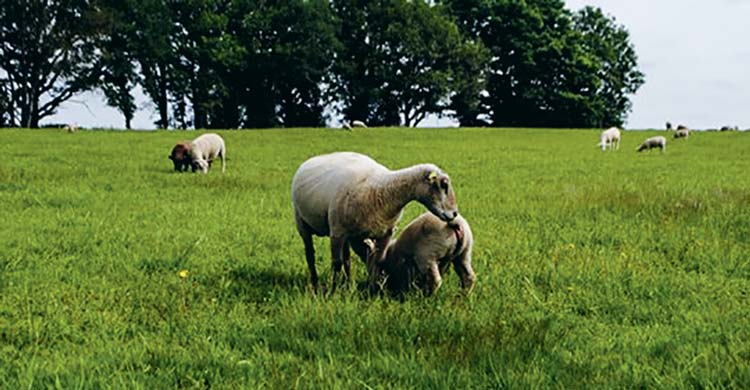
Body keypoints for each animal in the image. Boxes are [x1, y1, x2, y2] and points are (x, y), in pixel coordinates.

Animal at [292, 151, 458, 290]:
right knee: (310, 254)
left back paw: (349, 283)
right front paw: (333, 290)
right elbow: (336, 263)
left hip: (347, 234)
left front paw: (374, 288)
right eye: (443, 185)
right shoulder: (337, 232)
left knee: (347, 258)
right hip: (302, 223)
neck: (383, 191)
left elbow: (376, 261)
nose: (455, 213)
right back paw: (315, 282)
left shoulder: (385, 233)